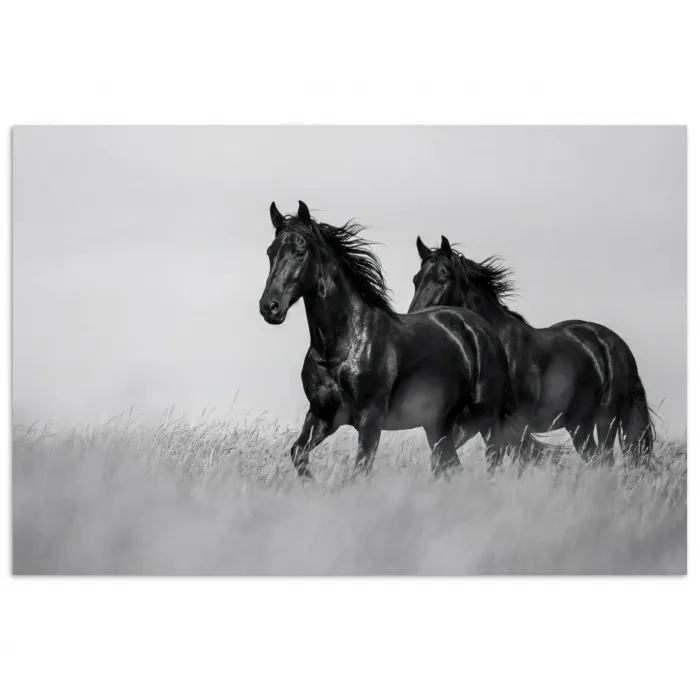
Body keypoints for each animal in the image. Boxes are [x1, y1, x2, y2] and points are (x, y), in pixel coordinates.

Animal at [258, 201, 518, 479]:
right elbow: (298, 453)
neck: (340, 346)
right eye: (270, 252)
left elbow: (360, 471)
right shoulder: (322, 414)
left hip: (485, 417)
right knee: (448, 464)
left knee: (491, 460)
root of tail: (483, 328)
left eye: (299, 252)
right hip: (439, 424)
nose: (269, 307)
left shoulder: (370, 420)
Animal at [408, 235, 656, 466]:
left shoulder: (510, 425)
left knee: (606, 459)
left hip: (607, 418)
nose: (416, 319)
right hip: (579, 425)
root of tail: (617, 345)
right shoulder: (469, 422)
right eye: (416, 280)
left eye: (443, 278)